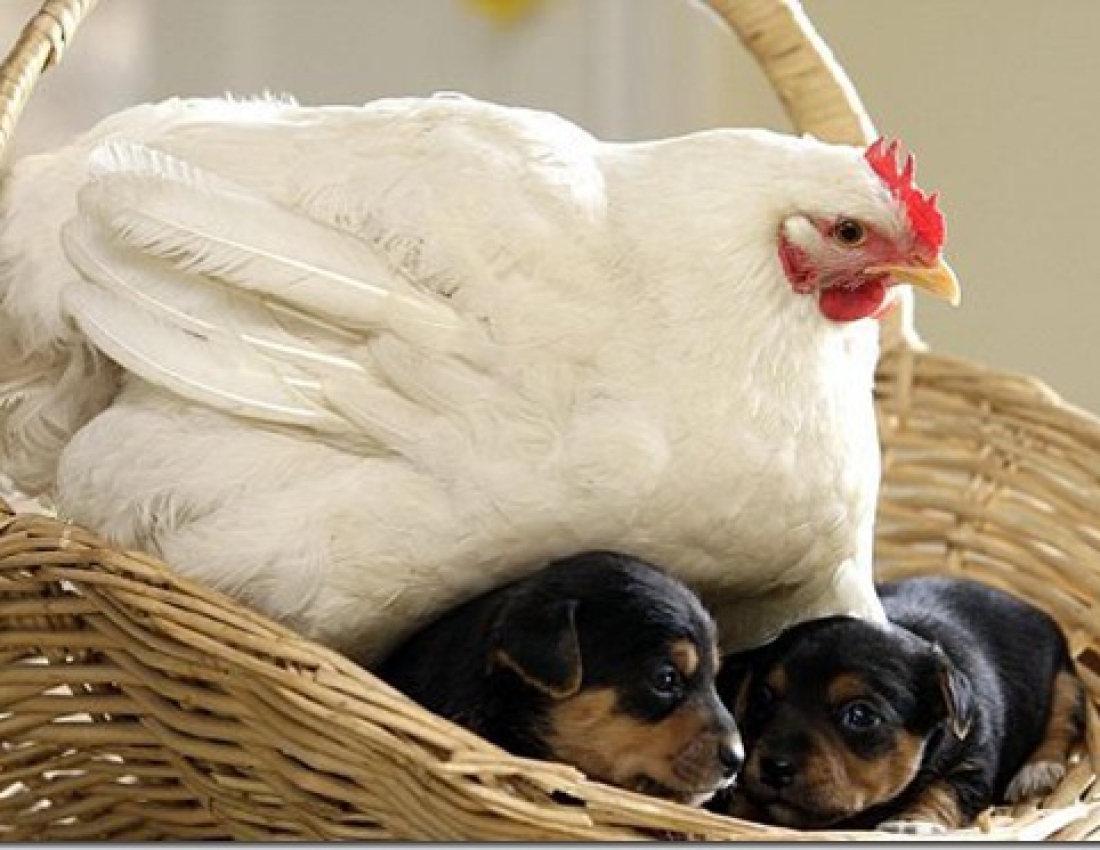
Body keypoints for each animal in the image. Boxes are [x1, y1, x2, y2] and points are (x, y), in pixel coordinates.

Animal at [714, 576, 1084, 833]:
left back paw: (1038, 770)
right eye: (762, 698)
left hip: (1064, 679)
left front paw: (913, 823)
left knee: (1065, 719)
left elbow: (941, 792)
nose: (774, 768)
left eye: (860, 715)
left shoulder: (973, 765)